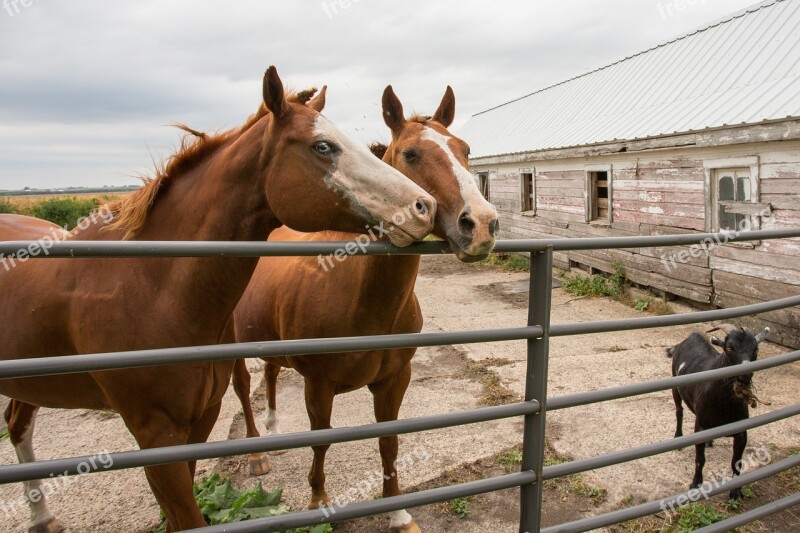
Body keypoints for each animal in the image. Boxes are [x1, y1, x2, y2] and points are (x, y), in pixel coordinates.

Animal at [1, 66, 438, 532]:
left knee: (18, 424)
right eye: (323, 146)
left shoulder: (198, 424)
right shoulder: (155, 435)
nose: (424, 206)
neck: (145, 286)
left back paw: (42, 516)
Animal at [228, 85, 496, 528]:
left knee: (269, 374)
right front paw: (318, 503)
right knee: (243, 386)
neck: (364, 300)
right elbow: (322, 444)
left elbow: (389, 443)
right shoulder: (318, 386)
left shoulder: (394, 381)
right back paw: (256, 454)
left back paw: (273, 431)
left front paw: (398, 513)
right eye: (411, 154)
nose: (482, 224)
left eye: (465, 149)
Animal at [664, 324, 772, 498]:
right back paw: (678, 438)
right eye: (729, 348)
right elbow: (700, 459)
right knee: (679, 411)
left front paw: (736, 491)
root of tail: (691, 336)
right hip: (675, 384)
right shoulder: (700, 427)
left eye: (756, 350)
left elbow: (736, 461)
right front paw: (695, 484)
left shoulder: (741, 432)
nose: (745, 374)